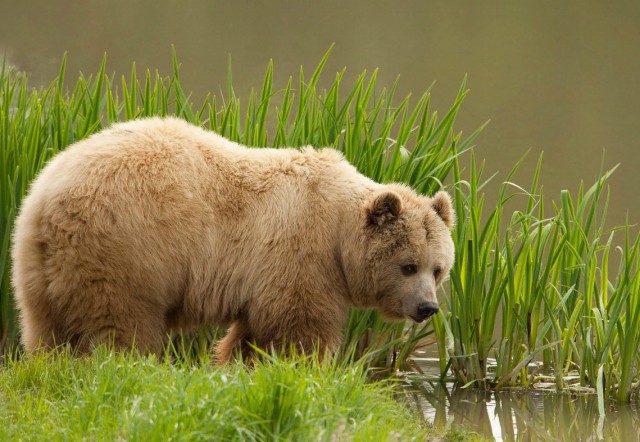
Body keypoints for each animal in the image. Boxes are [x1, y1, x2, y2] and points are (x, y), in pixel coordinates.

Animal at [10, 116, 456, 362]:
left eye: (438, 269)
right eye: (408, 266)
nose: (427, 307)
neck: (339, 236)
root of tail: (48, 198)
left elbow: (253, 334)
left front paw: (238, 363)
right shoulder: (301, 253)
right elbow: (298, 327)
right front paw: (304, 369)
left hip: (37, 269)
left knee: (44, 331)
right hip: (125, 250)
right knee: (120, 327)